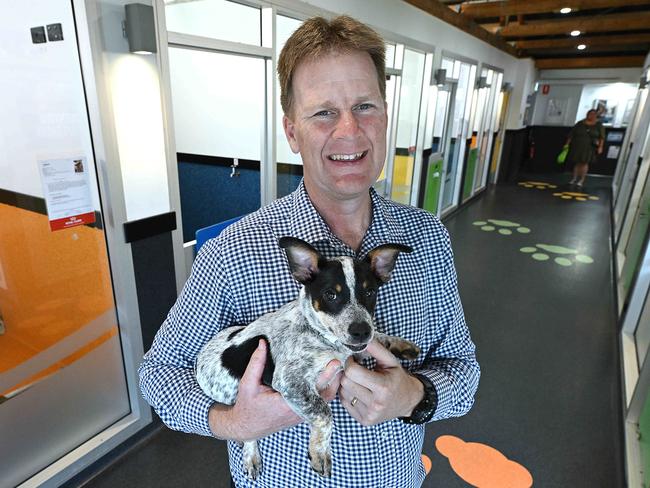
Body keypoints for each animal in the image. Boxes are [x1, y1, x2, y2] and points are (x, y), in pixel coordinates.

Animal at [195, 236, 418, 480]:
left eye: (370, 293)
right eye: (330, 294)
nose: (361, 331)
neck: (319, 334)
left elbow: (374, 342)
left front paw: (397, 344)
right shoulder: (290, 381)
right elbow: (324, 413)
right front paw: (320, 452)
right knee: (248, 431)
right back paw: (250, 455)